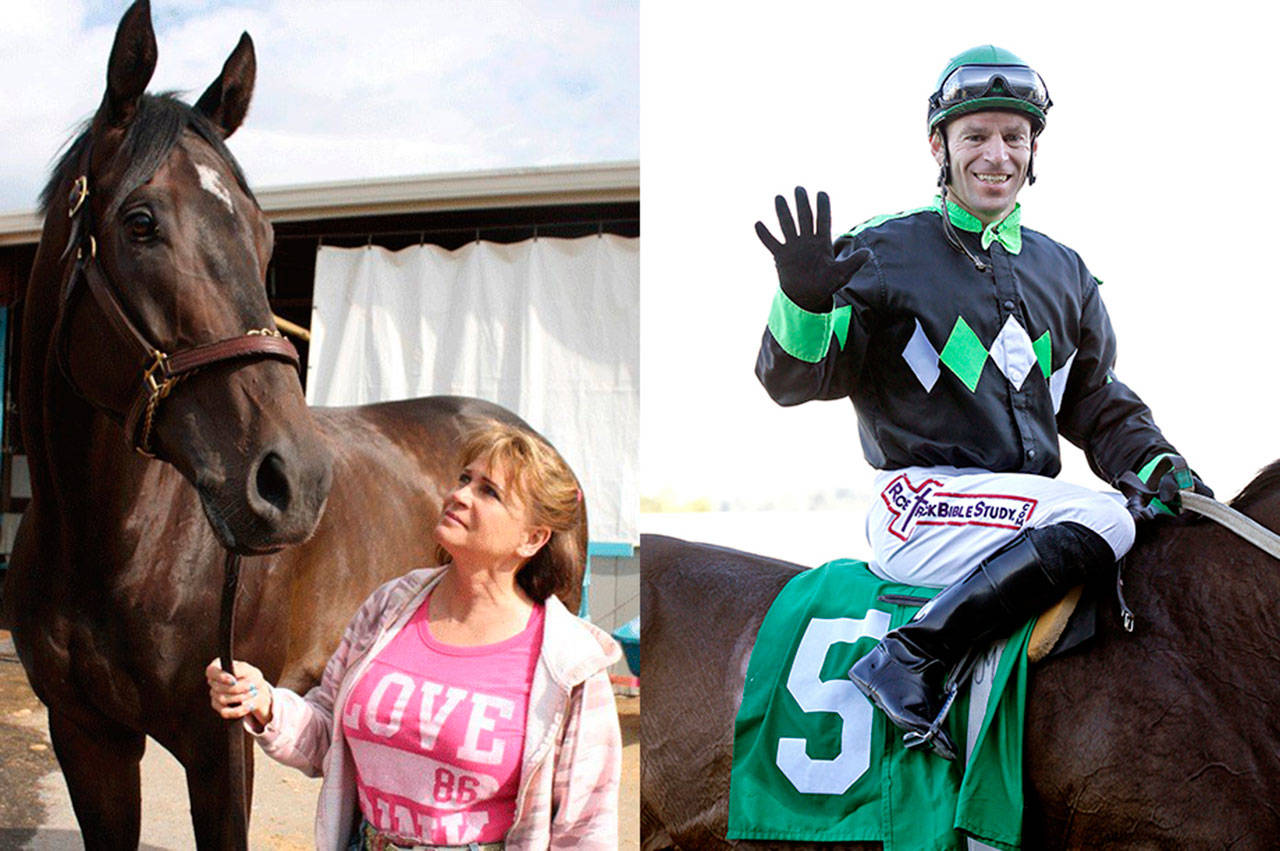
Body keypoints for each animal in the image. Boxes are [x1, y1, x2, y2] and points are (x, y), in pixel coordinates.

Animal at [1, 3, 586, 844]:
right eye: (140, 222)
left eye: (267, 235)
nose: (296, 482)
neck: (109, 539)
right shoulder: (86, 736)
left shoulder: (220, 745)